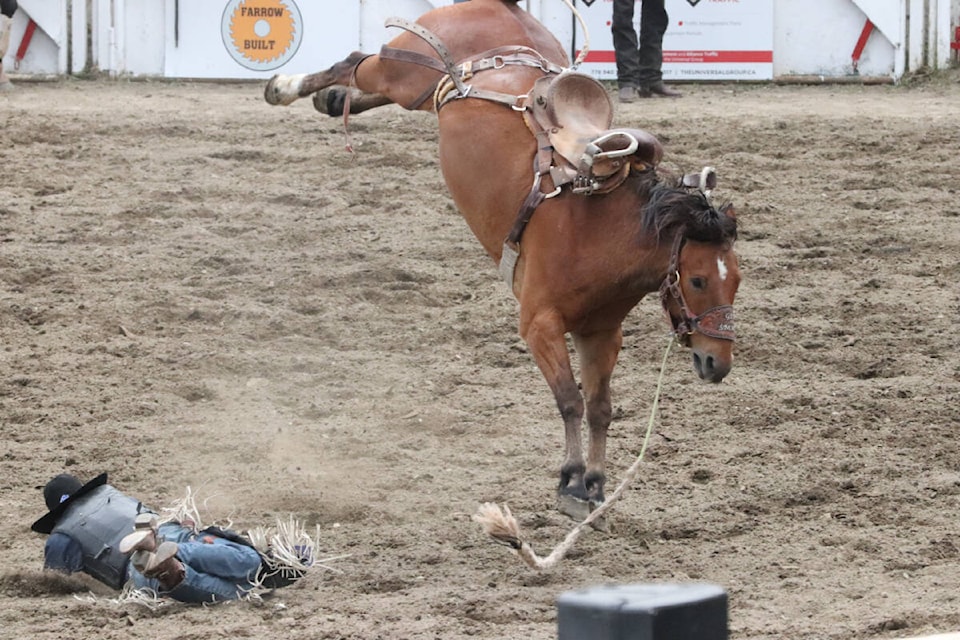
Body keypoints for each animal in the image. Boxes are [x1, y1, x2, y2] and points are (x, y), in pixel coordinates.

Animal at [262, 0, 744, 520]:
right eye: (697, 281)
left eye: (737, 281)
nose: (717, 363)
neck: (601, 230)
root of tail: (503, 6)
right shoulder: (539, 324)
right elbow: (570, 400)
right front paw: (571, 482)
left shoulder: (600, 333)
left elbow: (600, 407)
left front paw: (595, 485)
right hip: (403, 68)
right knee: (356, 60)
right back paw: (284, 87)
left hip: (423, 93)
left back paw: (330, 100)